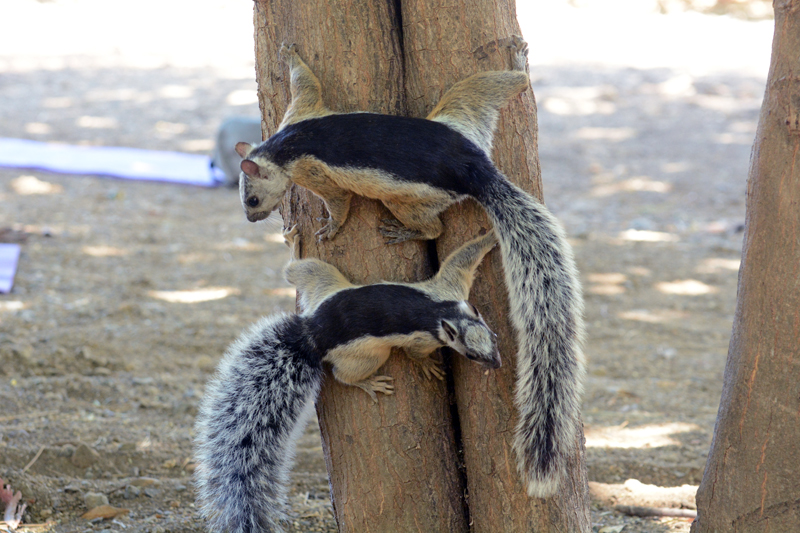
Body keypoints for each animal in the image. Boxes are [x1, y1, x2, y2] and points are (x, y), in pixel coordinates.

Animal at [195, 229, 500, 532]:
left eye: (494, 337)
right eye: (472, 355)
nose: (496, 363)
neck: (442, 314)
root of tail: (312, 333)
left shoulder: (451, 290)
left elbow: (462, 257)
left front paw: (489, 237)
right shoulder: (432, 322)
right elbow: (418, 347)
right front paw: (426, 365)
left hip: (325, 281)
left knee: (297, 271)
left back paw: (293, 244)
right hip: (369, 353)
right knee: (343, 374)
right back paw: (367, 383)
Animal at [234, 38, 584, 498]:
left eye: (251, 198)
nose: (251, 219)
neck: (283, 145)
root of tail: (476, 170)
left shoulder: (311, 167)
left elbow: (337, 199)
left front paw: (331, 227)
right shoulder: (302, 110)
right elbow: (305, 82)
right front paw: (290, 53)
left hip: (405, 198)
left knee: (433, 226)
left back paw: (405, 233)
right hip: (462, 109)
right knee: (497, 85)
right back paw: (519, 64)